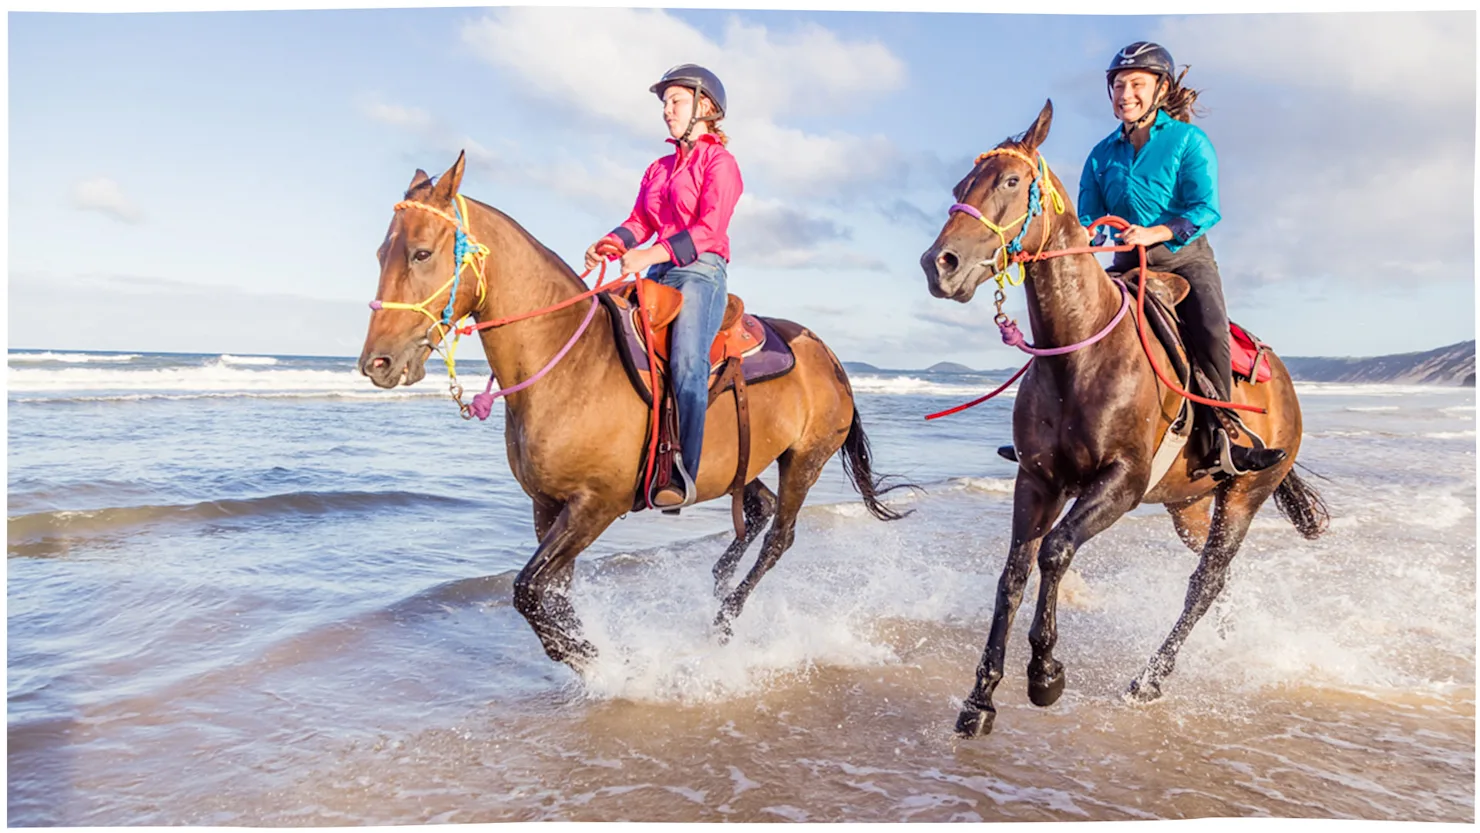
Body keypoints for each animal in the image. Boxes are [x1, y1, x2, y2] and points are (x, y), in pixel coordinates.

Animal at [364, 150, 905, 671]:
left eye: (422, 252)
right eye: (380, 254)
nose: (377, 363)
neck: (571, 361)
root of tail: (827, 353)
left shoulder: (596, 505)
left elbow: (529, 590)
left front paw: (596, 659)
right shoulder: (547, 505)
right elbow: (551, 593)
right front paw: (590, 655)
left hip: (804, 459)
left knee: (780, 536)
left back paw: (725, 619)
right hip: (741, 462)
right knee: (760, 511)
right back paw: (718, 582)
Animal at [911, 102, 1332, 736]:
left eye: (1009, 182)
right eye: (961, 187)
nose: (941, 265)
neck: (1079, 354)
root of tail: (1284, 382)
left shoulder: (1121, 484)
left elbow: (1056, 552)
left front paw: (1046, 674)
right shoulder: (1037, 481)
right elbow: (1013, 575)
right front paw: (979, 699)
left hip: (1243, 496)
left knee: (1205, 582)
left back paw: (1150, 679)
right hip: (1189, 505)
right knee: (1214, 580)